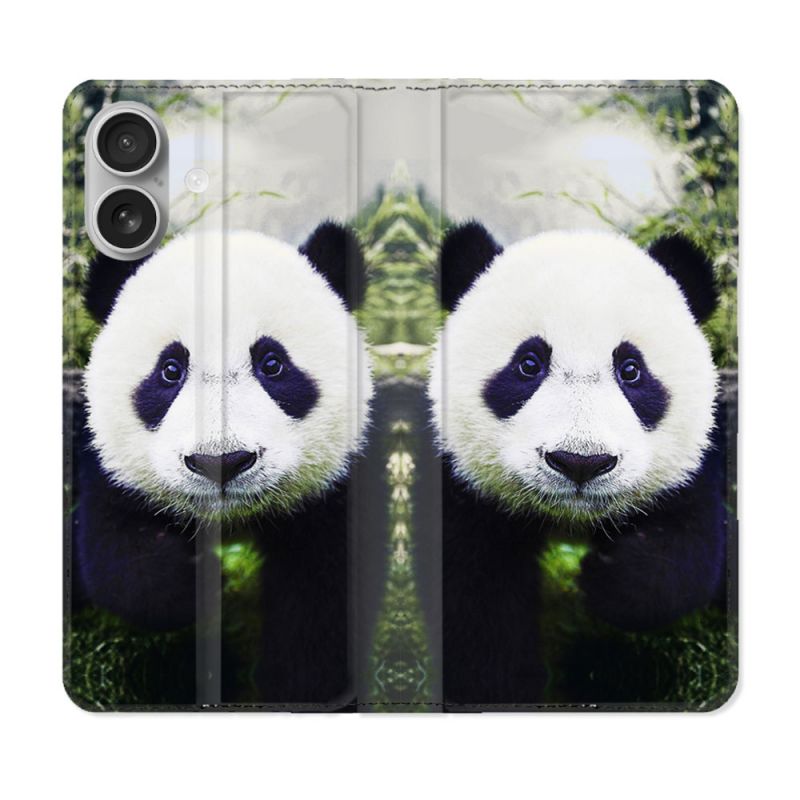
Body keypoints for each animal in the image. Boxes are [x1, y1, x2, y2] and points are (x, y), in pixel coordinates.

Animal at [73, 222, 372, 707]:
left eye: (272, 363)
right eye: (170, 370)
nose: (221, 463)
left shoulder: (334, 492)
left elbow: (321, 605)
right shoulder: (110, 469)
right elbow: (118, 558)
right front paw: (194, 584)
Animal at [428, 222, 727, 708]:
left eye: (631, 369)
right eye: (528, 364)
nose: (580, 463)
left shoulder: (691, 466)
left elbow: (687, 550)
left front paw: (609, 579)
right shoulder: (462, 488)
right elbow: (474, 605)